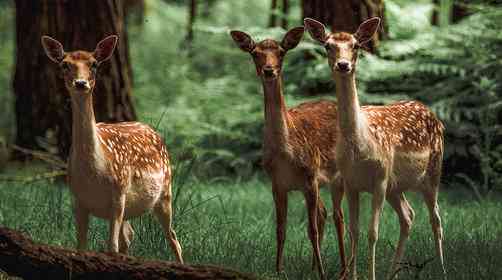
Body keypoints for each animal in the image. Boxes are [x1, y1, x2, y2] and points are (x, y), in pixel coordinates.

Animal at [40, 35, 182, 262]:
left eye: (94, 64)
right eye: (65, 64)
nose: (81, 83)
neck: (94, 170)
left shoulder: (118, 193)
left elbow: (111, 247)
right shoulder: (78, 199)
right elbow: (81, 246)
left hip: (165, 191)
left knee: (173, 237)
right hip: (131, 208)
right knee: (129, 236)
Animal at [230, 26, 346, 280]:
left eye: (281, 52)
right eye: (255, 53)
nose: (269, 69)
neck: (286, 154)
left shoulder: (309, 177)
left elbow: (311, 229)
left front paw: (323, 273)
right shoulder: (277, 184)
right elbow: (280, 229)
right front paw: (278, 269)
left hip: (337, 176)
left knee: (338, 217)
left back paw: (342, 269)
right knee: (323, 213)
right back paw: (313, 267)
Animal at [304, 18, 446, 278]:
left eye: (356, 45)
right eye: (328, 46)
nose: (343, 64)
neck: (359, 145)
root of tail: (434, 116)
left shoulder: (379, 180)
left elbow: (373, 234)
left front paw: (370, 275)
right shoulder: (351, 182)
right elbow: (354, 232)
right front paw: (352, 275)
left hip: (432, 172)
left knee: (436, 219)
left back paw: (442, 270)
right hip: (395, 185)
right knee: (408, 216)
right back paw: (392, 273)